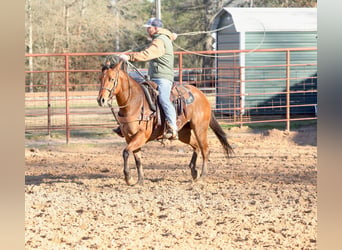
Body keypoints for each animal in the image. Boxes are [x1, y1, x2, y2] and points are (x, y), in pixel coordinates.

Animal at [97, 60, 234, 186]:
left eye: (111, 79)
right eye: (100, 78)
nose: (101, 99)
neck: (135, 102)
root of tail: (202, 95)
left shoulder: (141, 136)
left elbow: (126, 152)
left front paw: (129, 178)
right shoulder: (129, 137)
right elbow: (137, 158)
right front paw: (139, 180)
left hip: (200, 128)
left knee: (205, 149)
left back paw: (202, 176)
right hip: (184, 133)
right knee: (196, 146)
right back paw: (194, 171)